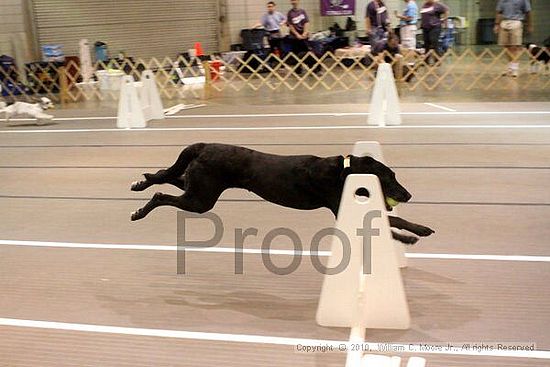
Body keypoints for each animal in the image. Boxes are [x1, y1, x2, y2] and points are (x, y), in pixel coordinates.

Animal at [130, 144, 436, 244]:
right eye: (390, 177)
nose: (409, 195)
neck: (345, 172)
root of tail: (202, 146)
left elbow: (393, 219)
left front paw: (418, 229)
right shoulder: (341, 207)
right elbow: (391, 222)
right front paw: (411, 236)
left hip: (199, 187)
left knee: (166, 175)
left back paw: (140, 183)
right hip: (202, 199)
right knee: (161, 195)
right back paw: (139, 211)